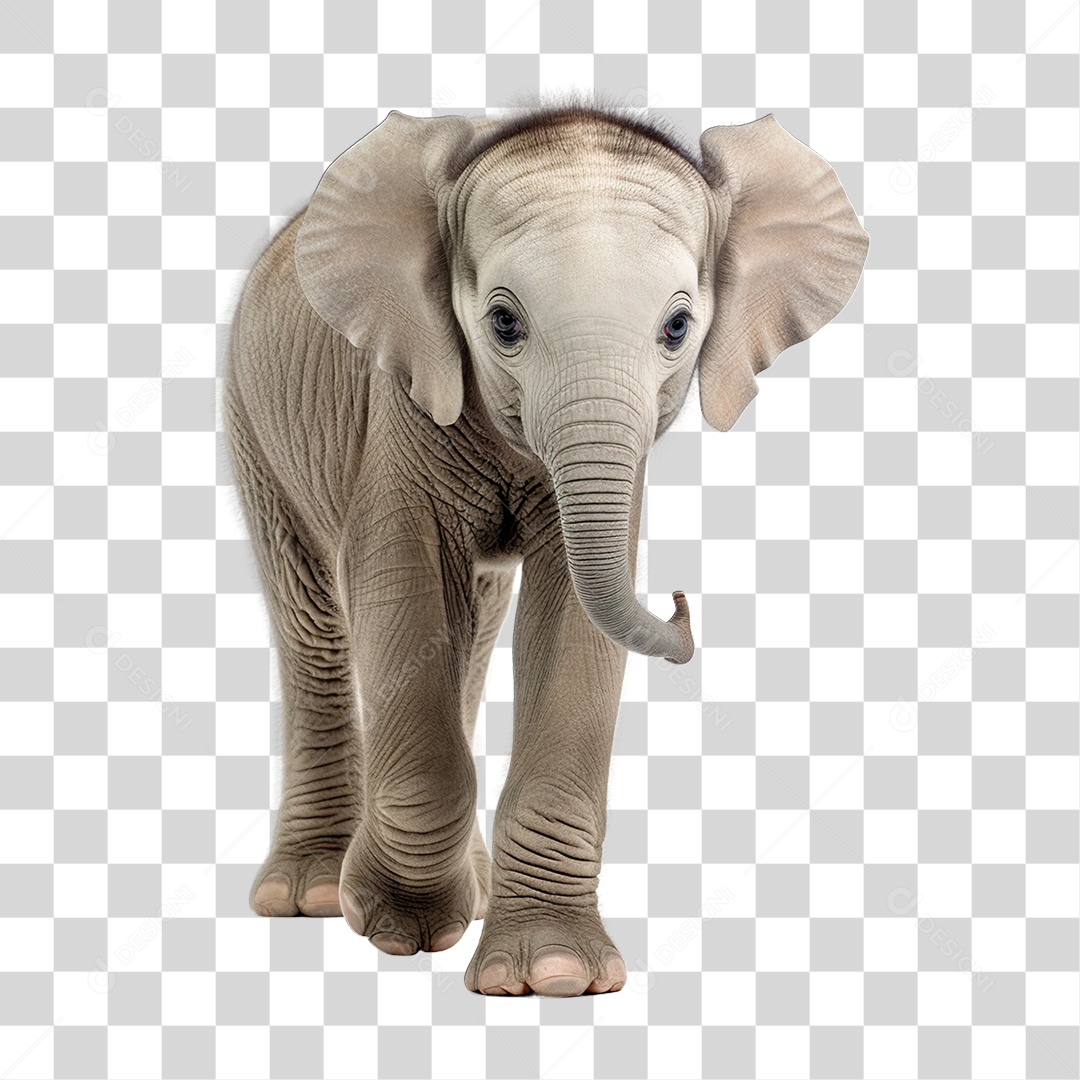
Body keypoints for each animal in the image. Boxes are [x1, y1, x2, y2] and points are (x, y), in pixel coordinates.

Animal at [224, 99, 868, 997]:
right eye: (503, 323)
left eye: (678, 327)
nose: (682, 602)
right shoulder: (402, 401)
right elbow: (403, 586)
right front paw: (393, 924)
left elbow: (573, 619)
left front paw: (553, 974)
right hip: (252, 413)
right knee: (316, 620)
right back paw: (313, 893)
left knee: (474, 627)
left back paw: (472, 886)